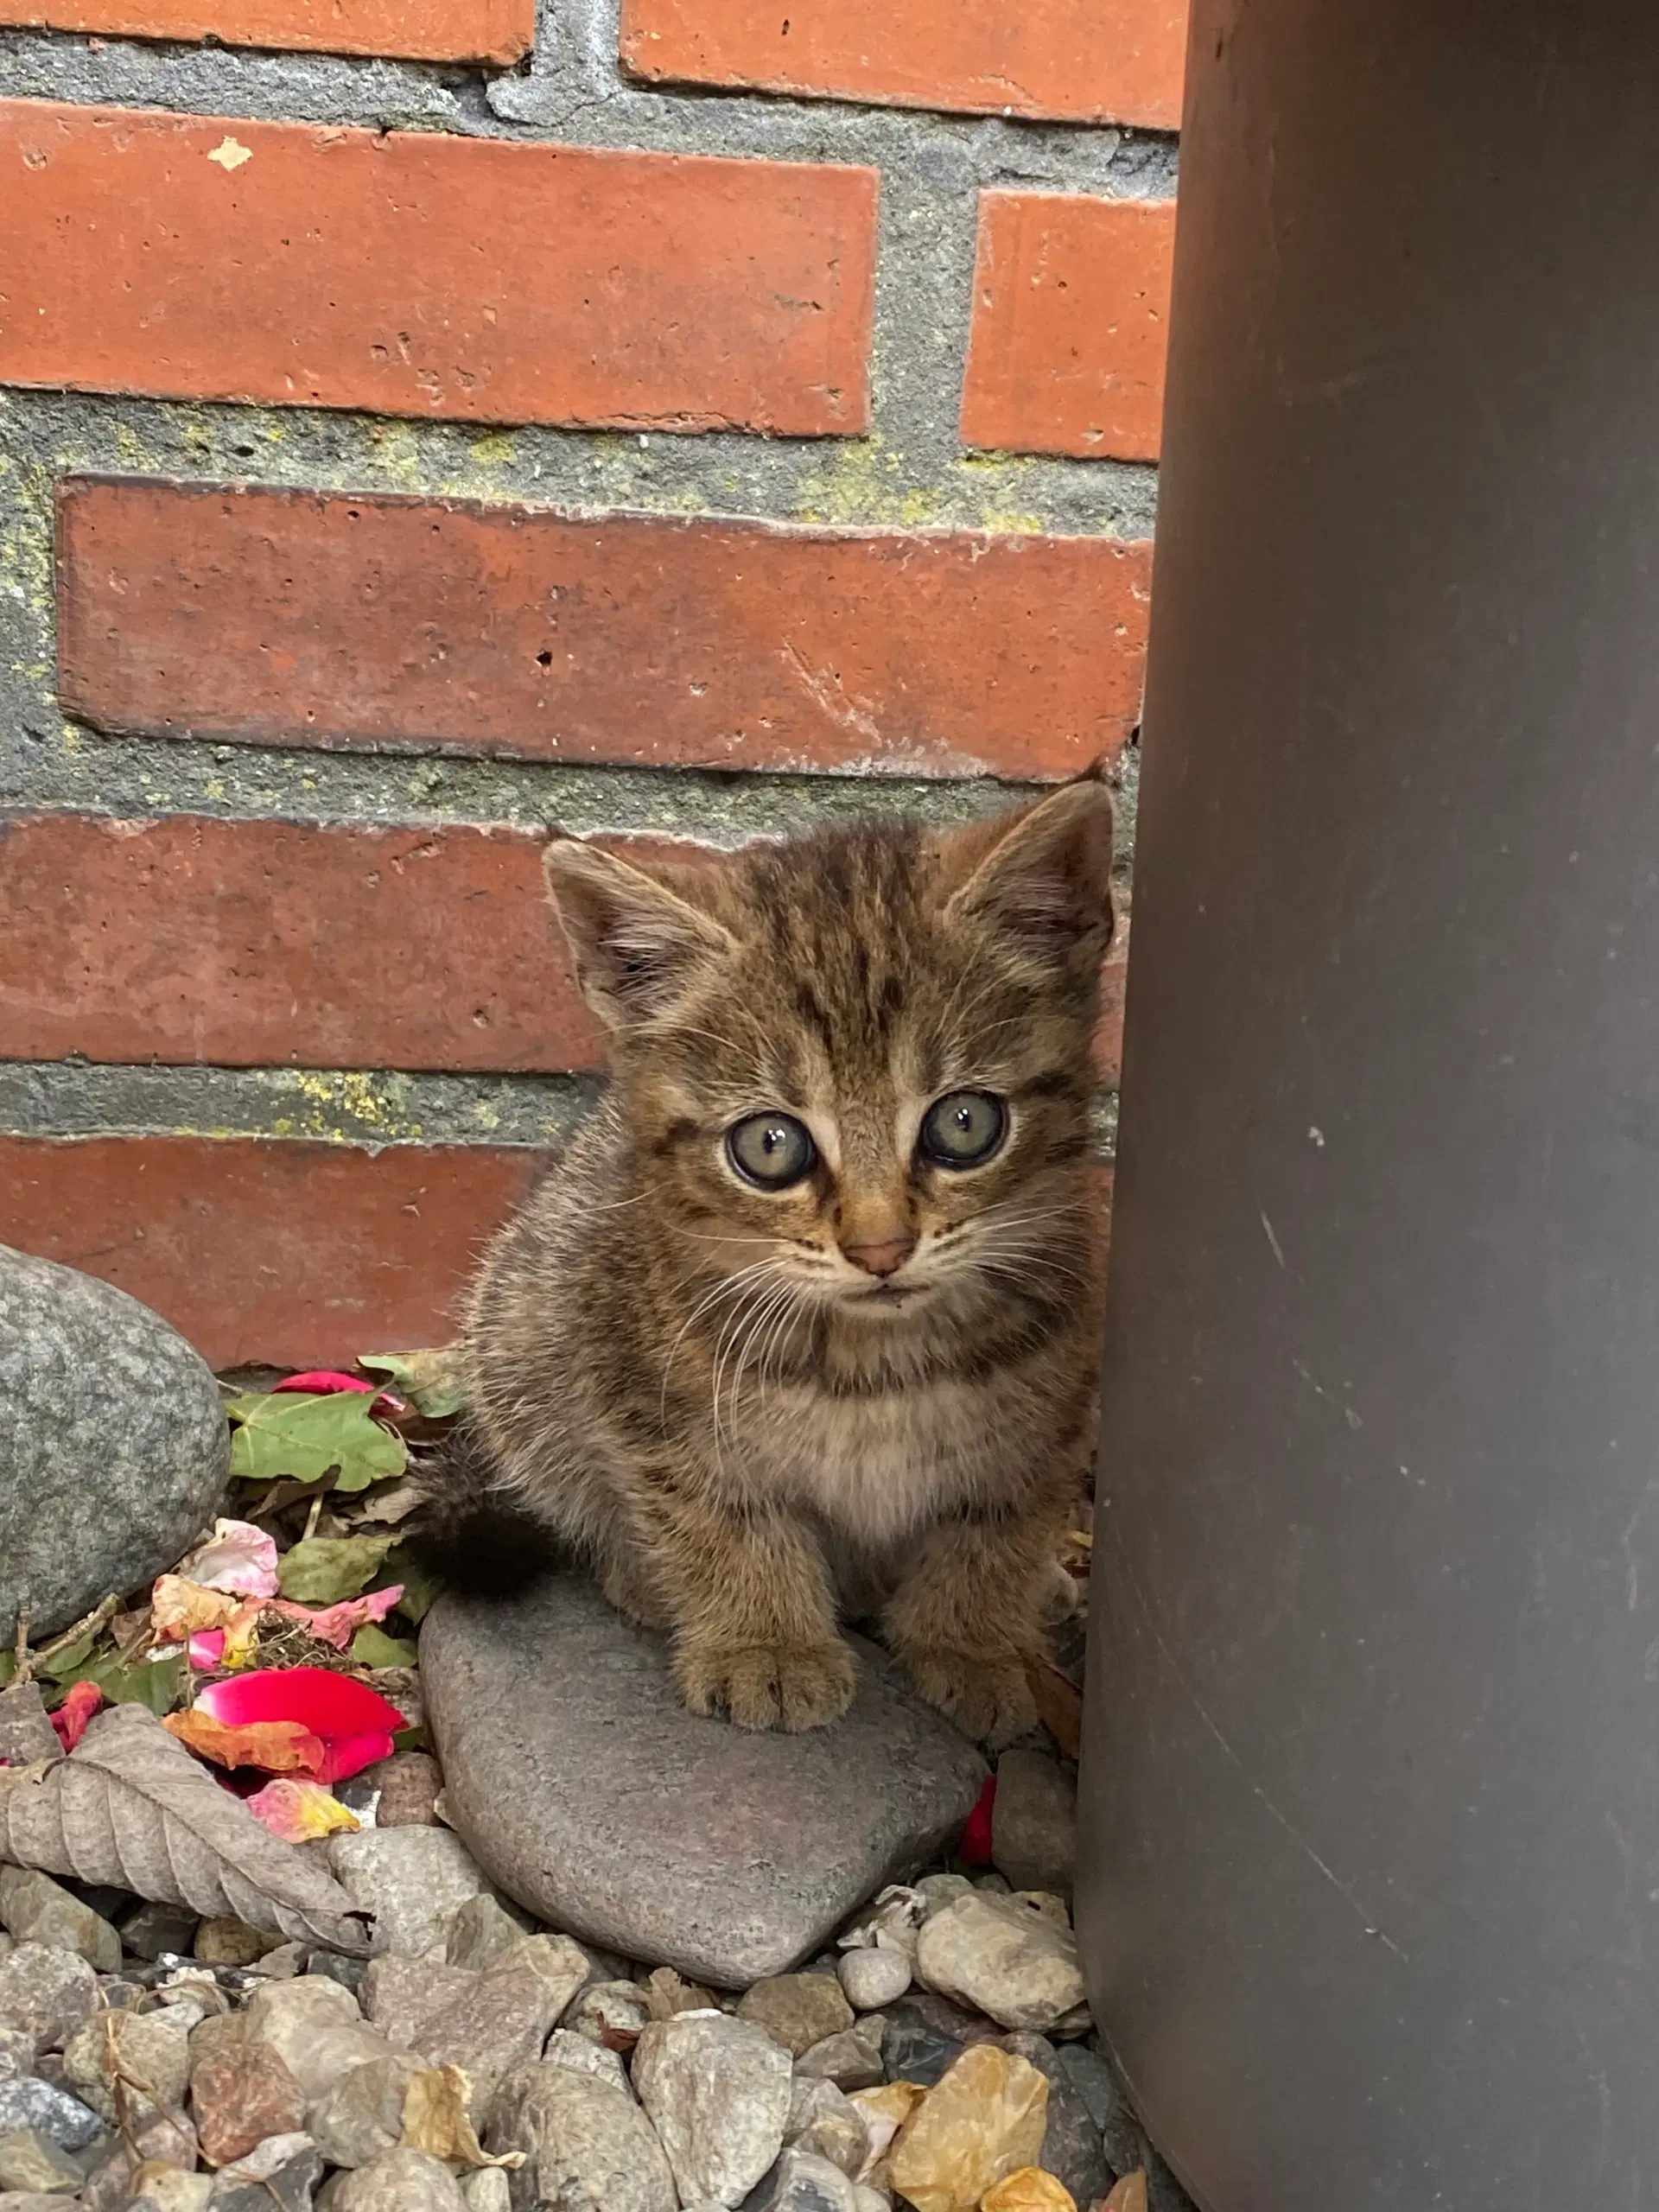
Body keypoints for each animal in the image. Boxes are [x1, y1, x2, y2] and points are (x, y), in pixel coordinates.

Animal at [422, 779, 1110, 1743]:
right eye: (771, 1145)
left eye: (966, 1123)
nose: (879, 1248)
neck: (875, 1361)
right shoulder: (648, 1401)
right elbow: (726, 1519)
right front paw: (766, 1644)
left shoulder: (1050, 1419)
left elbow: (994, 1528)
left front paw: (973, 1642)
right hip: (522, 1329)